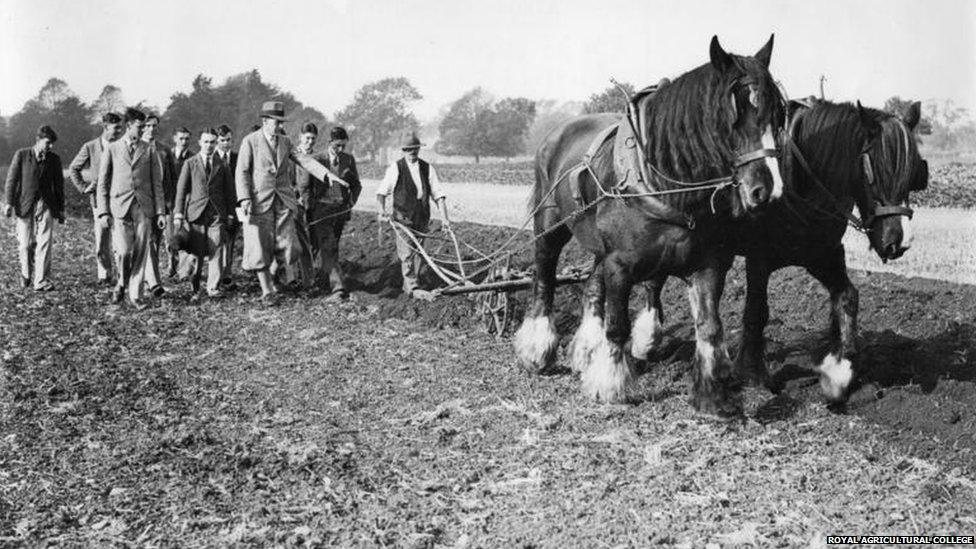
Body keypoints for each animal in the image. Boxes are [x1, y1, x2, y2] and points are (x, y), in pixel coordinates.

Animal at [520, 36, 784, 418]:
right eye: (731, 116)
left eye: (777, 114)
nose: (768, 191)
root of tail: (557, 133)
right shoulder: (620, 265)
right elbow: (617, 326)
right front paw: (611, 385)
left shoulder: (708, 264)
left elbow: (710, 326)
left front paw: (713, 393)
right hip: (550, 226)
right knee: (544, 278)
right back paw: (538, 349)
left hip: (600, 247)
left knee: (591, 289)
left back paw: (585, 351)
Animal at [632, 96, 932, 404]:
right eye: (874, 172)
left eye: (914, 174)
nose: (899, 242)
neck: (800, 183)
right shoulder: (759, 258)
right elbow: (756, 312)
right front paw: (752, 375)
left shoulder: (822, 254)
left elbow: (848, 297)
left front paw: (841, 371)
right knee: (654, 281)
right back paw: (647, 340)